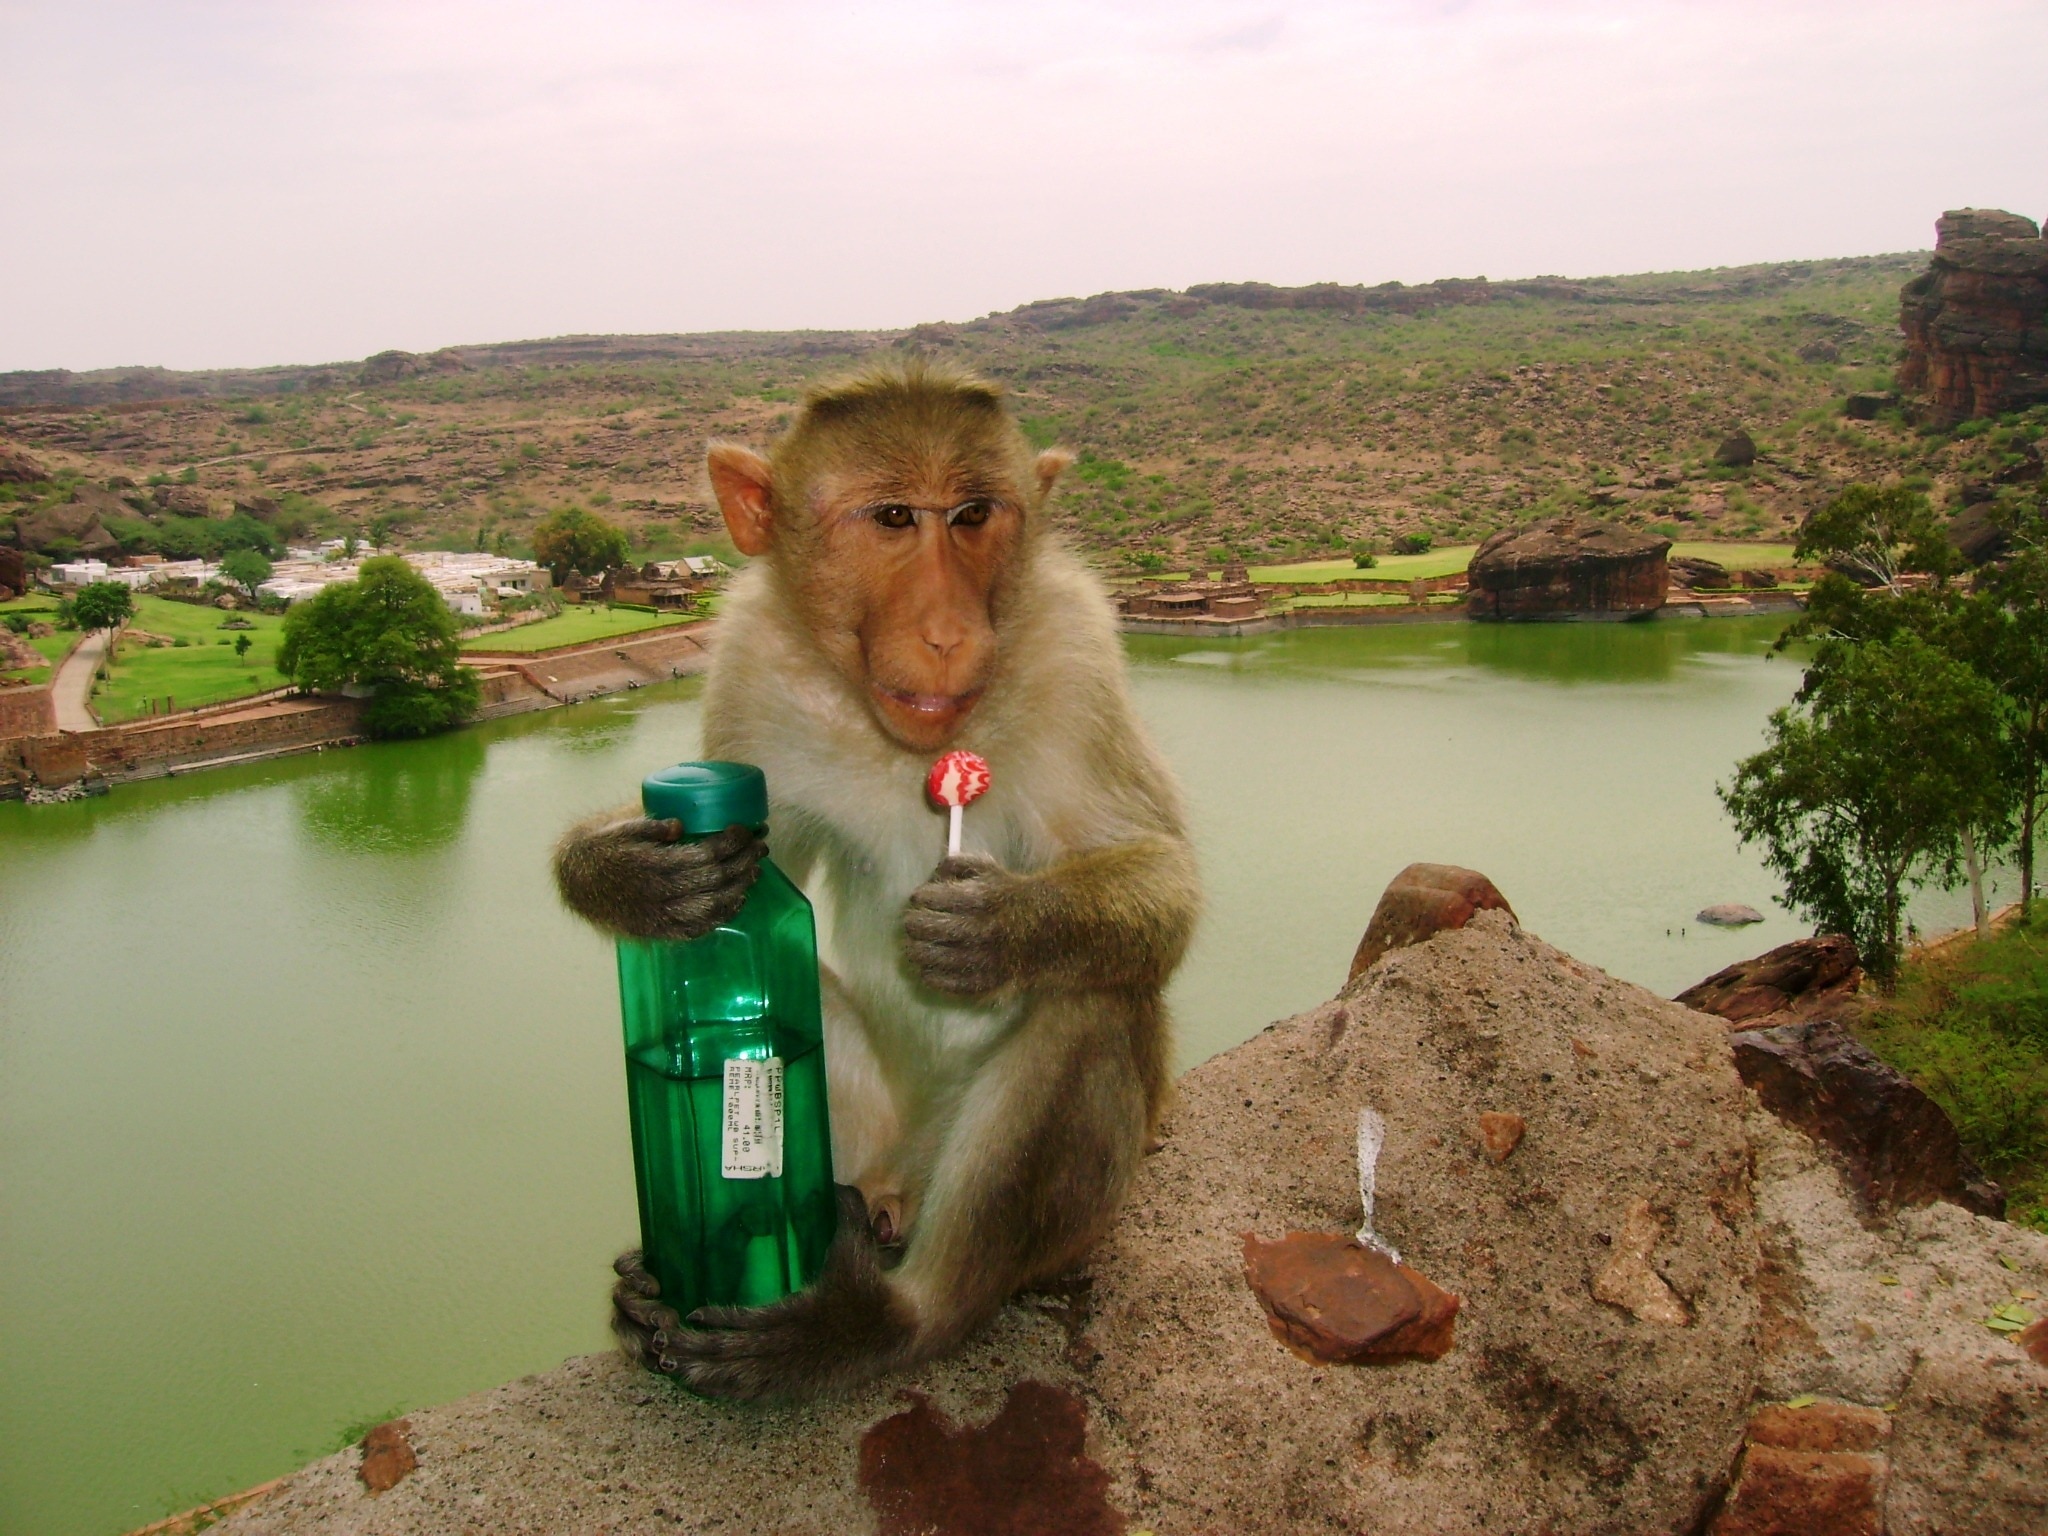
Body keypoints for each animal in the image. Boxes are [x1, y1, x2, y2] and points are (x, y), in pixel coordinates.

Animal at [561, 360, 1196, 1409]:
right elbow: (746, 859)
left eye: (974, 515)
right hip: (865, 1130)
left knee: (1094, 1001)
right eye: (894, 518)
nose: (945, 629)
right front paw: (631, 874)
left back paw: (883, 1320)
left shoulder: (1078, 650)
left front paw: (1001, 927)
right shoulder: (750, 663)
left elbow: (1162, 876)